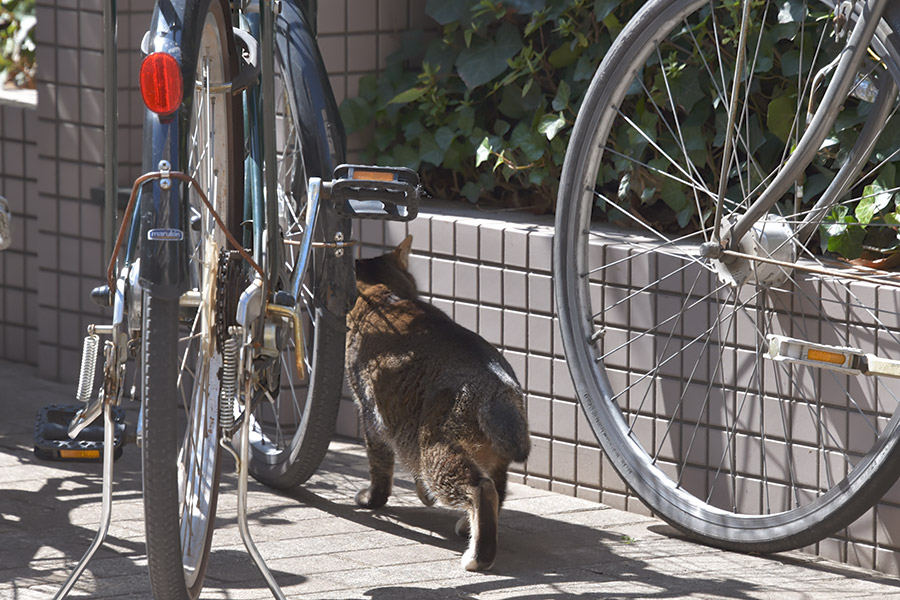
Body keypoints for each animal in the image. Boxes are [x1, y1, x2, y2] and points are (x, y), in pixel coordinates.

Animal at [342, 236, 528, 572]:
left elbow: (379, 465)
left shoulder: (372, 415)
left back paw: (478, 557)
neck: (384, 294)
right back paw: (469, 529)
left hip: (435, 449)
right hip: (488, 454)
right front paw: (422, 495)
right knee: (497, 488)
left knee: (482, 489)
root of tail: (495, 386)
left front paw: (373, 499)